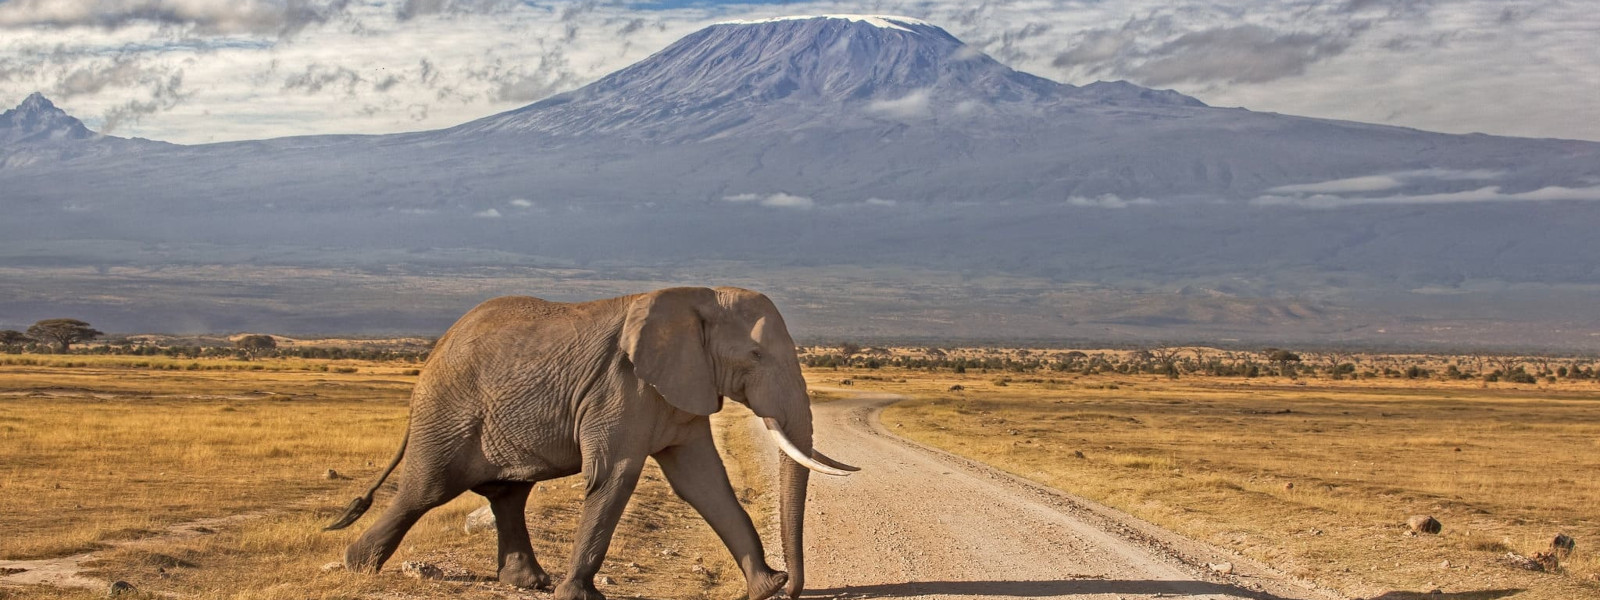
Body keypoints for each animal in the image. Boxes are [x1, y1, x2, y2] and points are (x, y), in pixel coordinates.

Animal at [316, 286, 857, 600]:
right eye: (755, 355)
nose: (793, 588)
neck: (697, 297)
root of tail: (434, 352)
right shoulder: (621, 385)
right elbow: (615, 475)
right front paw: (580, 597)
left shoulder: (679, 386)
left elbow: (704, 483)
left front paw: (764, 588)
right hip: (447, 412)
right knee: (425, 491)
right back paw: (357, 566)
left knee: (508, 494)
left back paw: (528, 584)